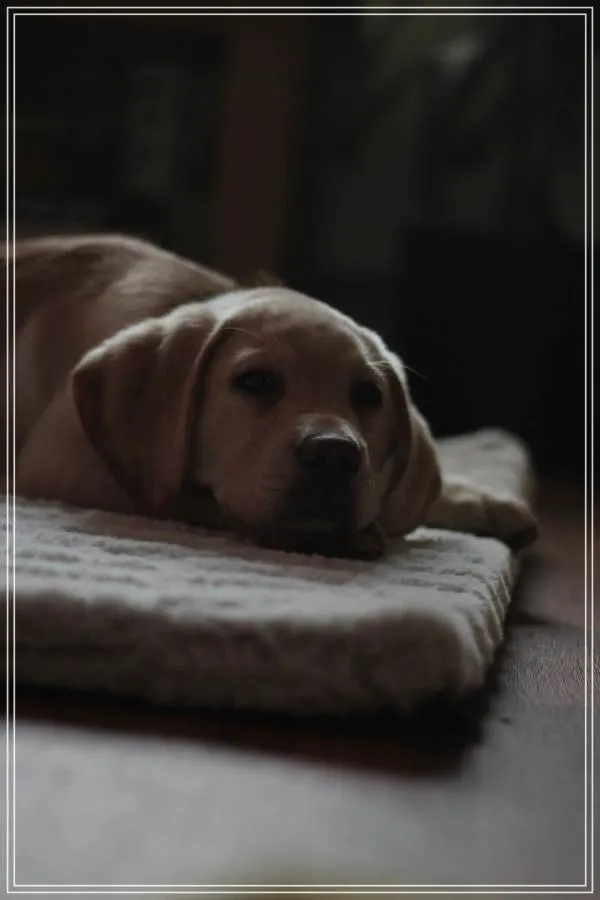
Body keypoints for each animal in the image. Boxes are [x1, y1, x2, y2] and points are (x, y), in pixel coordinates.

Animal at [3, 234, 537, 559]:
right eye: (255, 382)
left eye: (368, 394)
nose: (335, 454)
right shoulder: (58, 463)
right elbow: (188, 496)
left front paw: (480, 499)